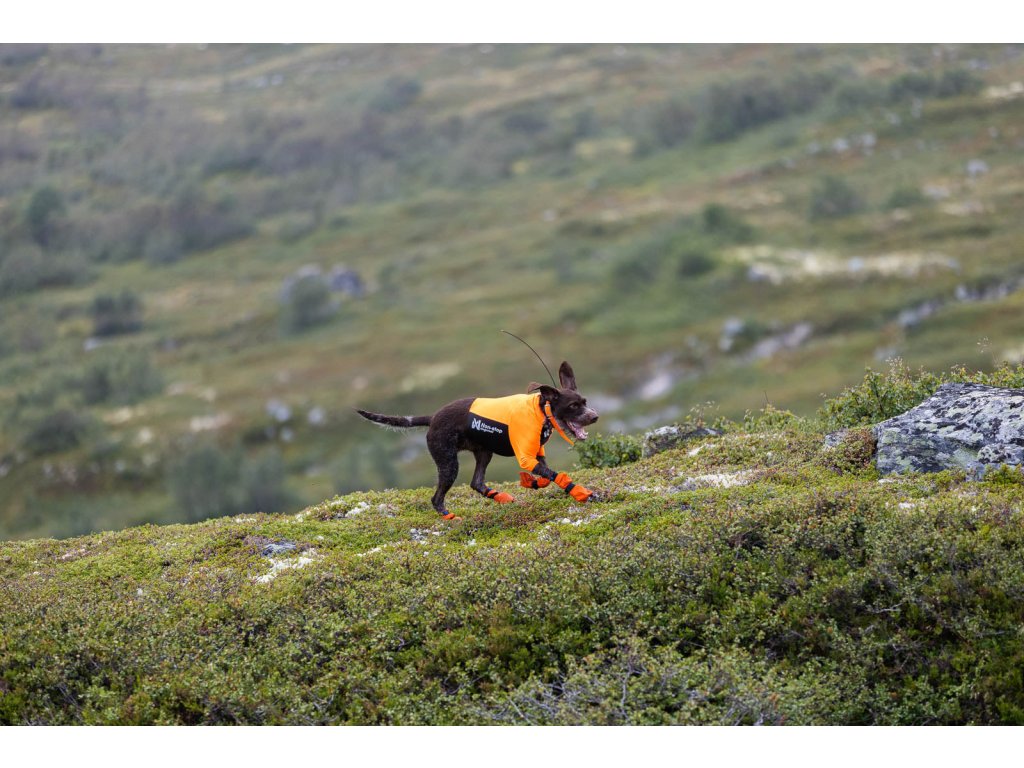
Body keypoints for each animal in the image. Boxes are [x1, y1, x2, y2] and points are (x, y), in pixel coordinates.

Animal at [357, 361, 599, 520]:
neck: (541, 411)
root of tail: (432, 418)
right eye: (573, 406)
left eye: (585, 402)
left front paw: (531, 482)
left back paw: (500, 497)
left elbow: (546, 478)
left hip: (484, 453)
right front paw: (582, 493)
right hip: (448, 464)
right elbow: (555, 476)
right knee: (437, 498)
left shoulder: (536, 455)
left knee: (476, 483)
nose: (594, 416)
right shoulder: (526, 458)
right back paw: (449, 517)